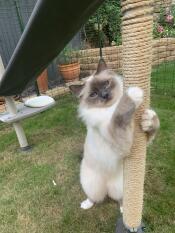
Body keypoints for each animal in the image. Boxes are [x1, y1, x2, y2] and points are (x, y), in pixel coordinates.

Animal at [69, 67, 159, 211]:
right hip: (91, 185)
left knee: (120, 199)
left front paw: (148, 119)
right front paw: (134, 93)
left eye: (106, 83)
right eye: (93, 94)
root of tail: (107, 186)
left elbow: (152, 126)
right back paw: (86, 205)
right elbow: (119, 115)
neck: (110, 108)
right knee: (94, 197)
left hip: (121, 186)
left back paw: (123, 209)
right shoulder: (117, 137)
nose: (105, 95)